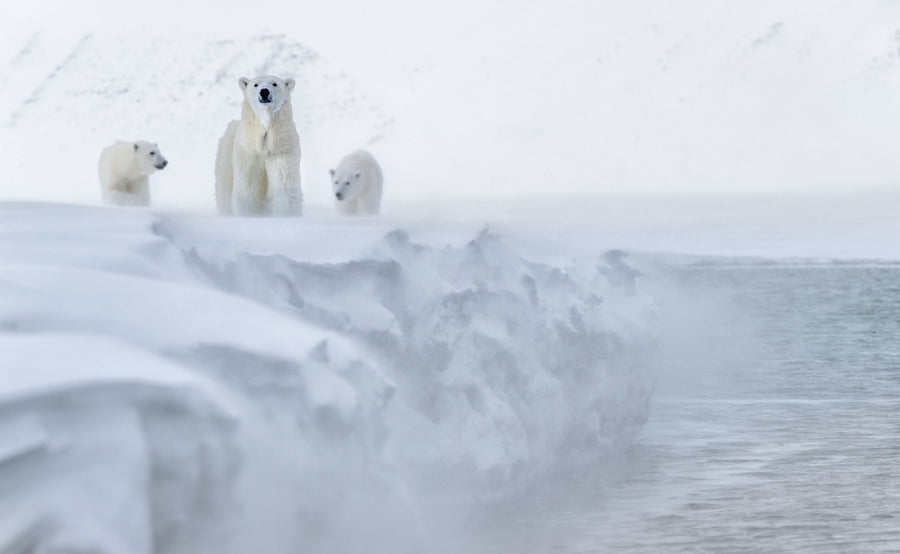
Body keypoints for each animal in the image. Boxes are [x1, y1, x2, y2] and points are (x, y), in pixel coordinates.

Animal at [215, 75, 302, 216]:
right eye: (255, 84)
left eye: (274, 83)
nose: (264, 91)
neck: (264, 143)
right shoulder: (249, 153)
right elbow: (248, 188)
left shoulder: (281, 149)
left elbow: (284, 184)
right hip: (225, 160)